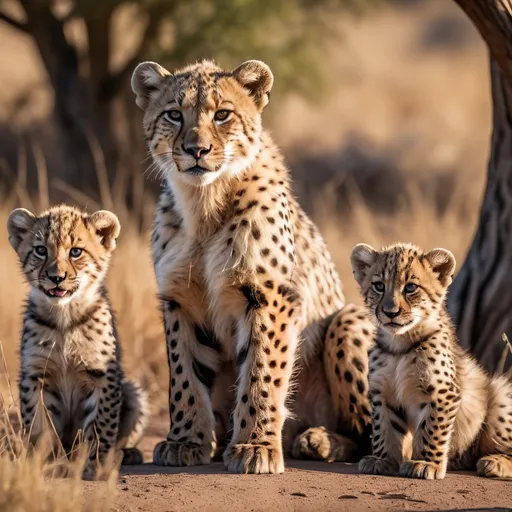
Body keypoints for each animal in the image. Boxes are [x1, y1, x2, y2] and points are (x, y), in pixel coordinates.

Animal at [131, 59, 372, 472]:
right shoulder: (179, 300)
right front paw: (185, 441)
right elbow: (183, 376)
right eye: (174, 114)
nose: (197, 150)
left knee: (377, 434)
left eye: (222, 115)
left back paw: (319, 441)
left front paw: (255, 446)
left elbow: (262, 372)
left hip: (348, 319)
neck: (205, 204)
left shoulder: (269, 296)